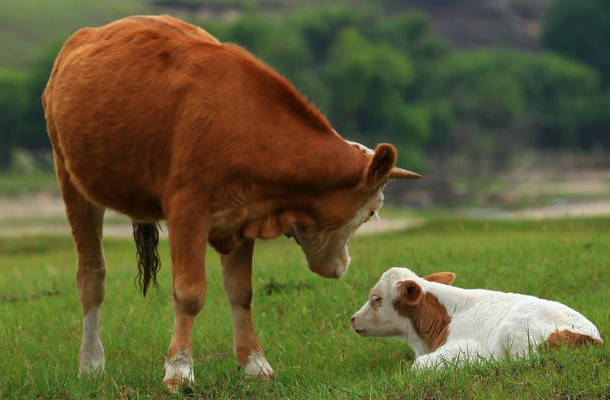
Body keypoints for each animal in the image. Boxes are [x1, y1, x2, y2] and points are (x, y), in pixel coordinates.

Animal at [41, 14, 418, 390]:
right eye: (371, 212)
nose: (342, 265)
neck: (244, 126)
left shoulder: (245, 215)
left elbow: (241, 292)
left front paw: (254, 362)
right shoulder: (188, 210)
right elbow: (189, 293)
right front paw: (179, 369)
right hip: (70, 178)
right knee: (92, 276)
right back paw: (91, 362)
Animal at [350, 268, 600, 368]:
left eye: (376, 298)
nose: (353, 318)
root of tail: (592, 337)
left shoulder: (464, 347)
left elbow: (417, 366)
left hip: (516, 330)